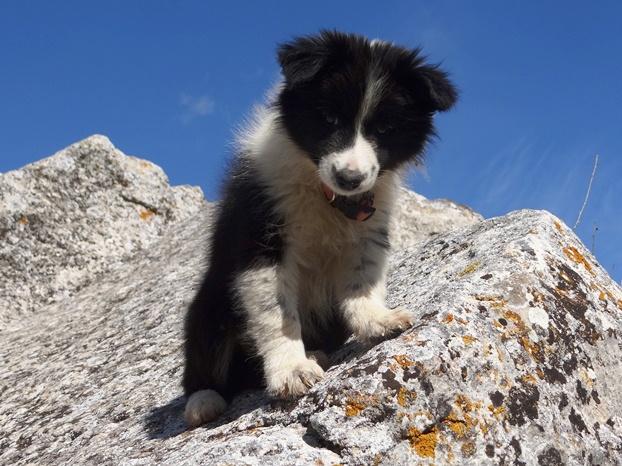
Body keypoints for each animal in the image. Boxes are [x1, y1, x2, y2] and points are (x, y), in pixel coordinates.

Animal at [180, 31, 458, 428]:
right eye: (328, 118)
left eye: (385, 129)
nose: (350, 178)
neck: (327, 194)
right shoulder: (261, 235)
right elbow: (277, 312)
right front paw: (291, 371)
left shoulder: (369, 229)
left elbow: (361, 282)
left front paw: (377, 320)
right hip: (210, 304)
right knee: (204, 358)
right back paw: (203, 400)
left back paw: (317, 352)